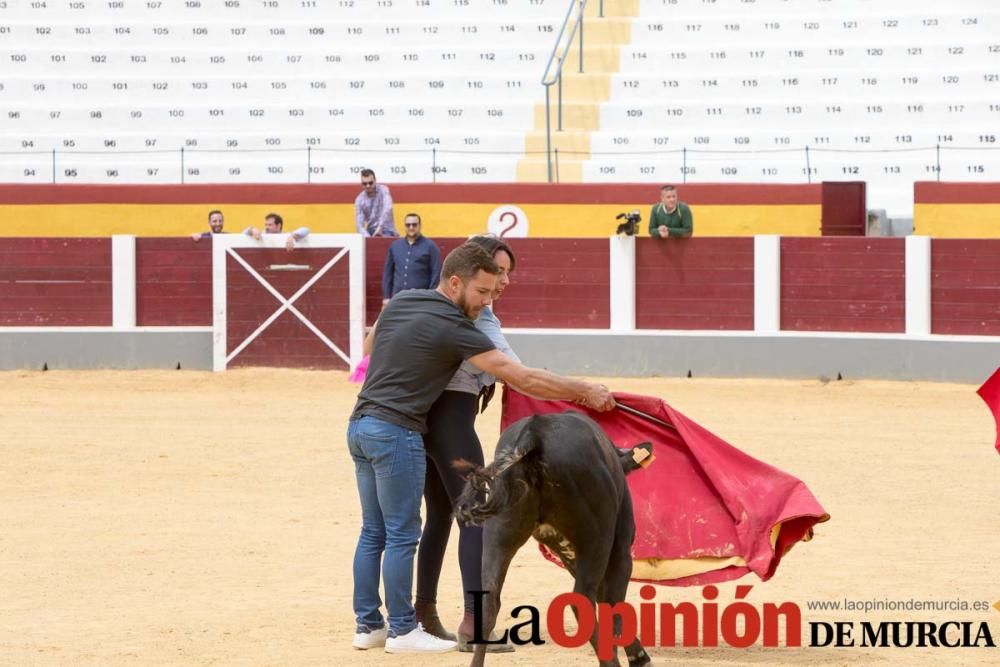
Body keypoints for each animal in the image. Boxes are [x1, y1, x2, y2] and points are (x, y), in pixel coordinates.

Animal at [456, 412, 656, 667]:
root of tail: (535, 434)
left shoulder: (569, 553)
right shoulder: (619, 547)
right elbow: (612, 600)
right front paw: (637, 656)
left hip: (498, 533)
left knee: (490, 601)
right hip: (598, 539)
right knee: (582, 598)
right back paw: (610, 662)